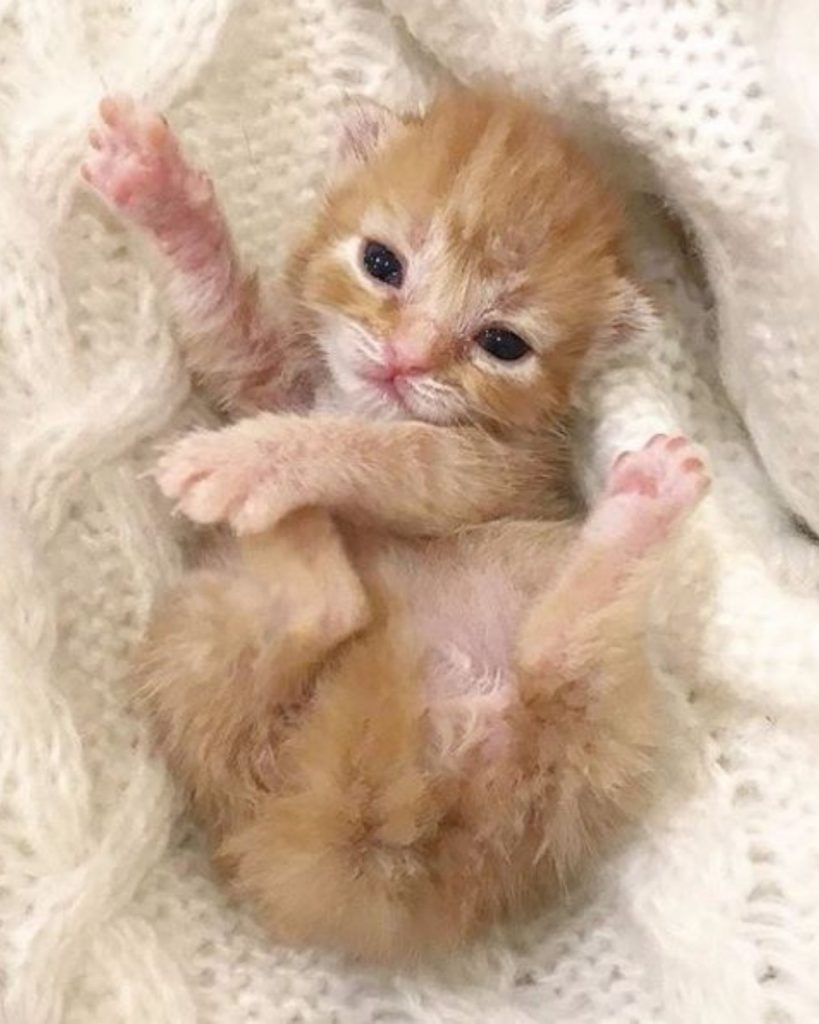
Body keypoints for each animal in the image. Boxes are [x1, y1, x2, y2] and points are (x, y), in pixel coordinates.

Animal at [84, 86, 708, 958]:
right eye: (381, 264)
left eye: (502, 344)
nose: (405, 357)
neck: (363, 399)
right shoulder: (267, 375)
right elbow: (224, 323)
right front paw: (159, 191)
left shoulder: (490, 474)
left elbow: (386, 454)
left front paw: (255, 462)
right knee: (551, 661)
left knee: (337, 610)